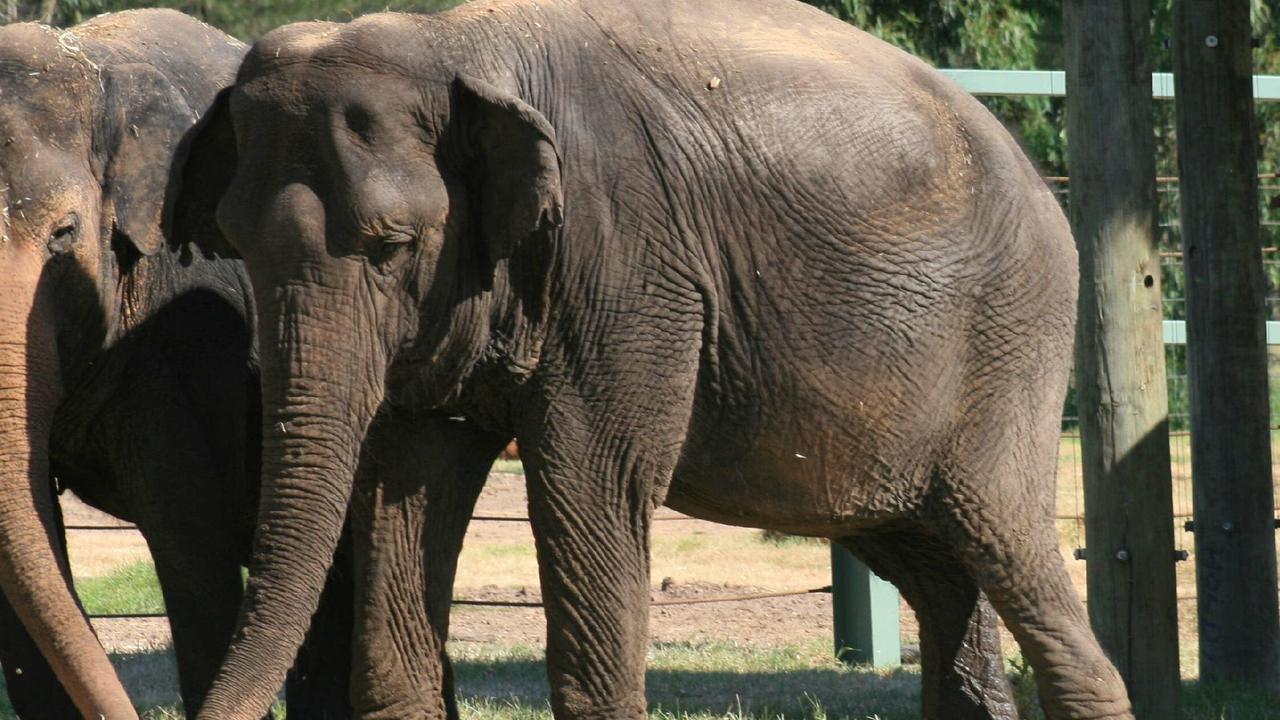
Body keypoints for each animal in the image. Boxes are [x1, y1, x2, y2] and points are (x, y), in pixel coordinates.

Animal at [186, 1, 1131, 717]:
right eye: (232, 241)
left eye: (391, 246)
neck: (452, 43)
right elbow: (406, 480)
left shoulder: (627, 264)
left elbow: (592, 479)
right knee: (934, 564)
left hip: (1009, 342)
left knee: (1004, 542)